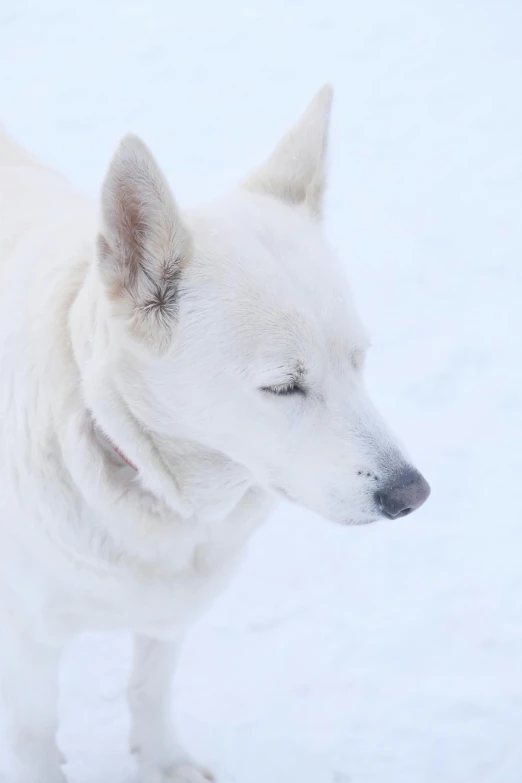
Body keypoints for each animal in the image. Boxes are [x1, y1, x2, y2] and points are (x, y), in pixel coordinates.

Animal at [0, 86, 426, 783]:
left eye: (358, 360)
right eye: (283, 386)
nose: (412, 493)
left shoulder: (173, 611)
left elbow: (149, 689)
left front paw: (164, 763)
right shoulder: (30, 645)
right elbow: (35, 736)